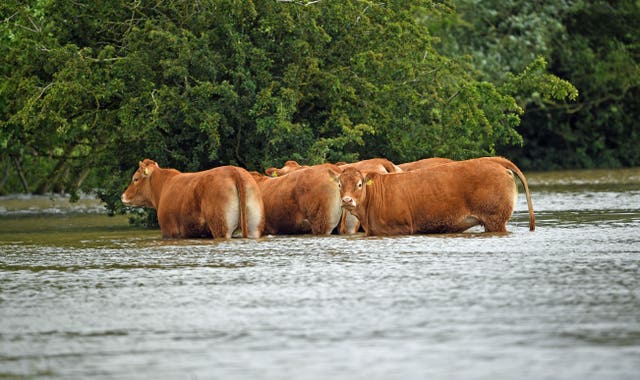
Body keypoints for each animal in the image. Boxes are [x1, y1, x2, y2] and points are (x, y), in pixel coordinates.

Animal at [121, 159, 264, 239]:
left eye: (135, 179)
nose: (123, 196)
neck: (163, 186)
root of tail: (233, 170)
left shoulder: (168, 230)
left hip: (221, 227)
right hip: (254, 226)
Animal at [330, 157, 536, 235]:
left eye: (359, 184)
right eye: (339, 184)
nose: (346, 200)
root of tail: (494, 160)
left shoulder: (401, 229)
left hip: (495, 220)